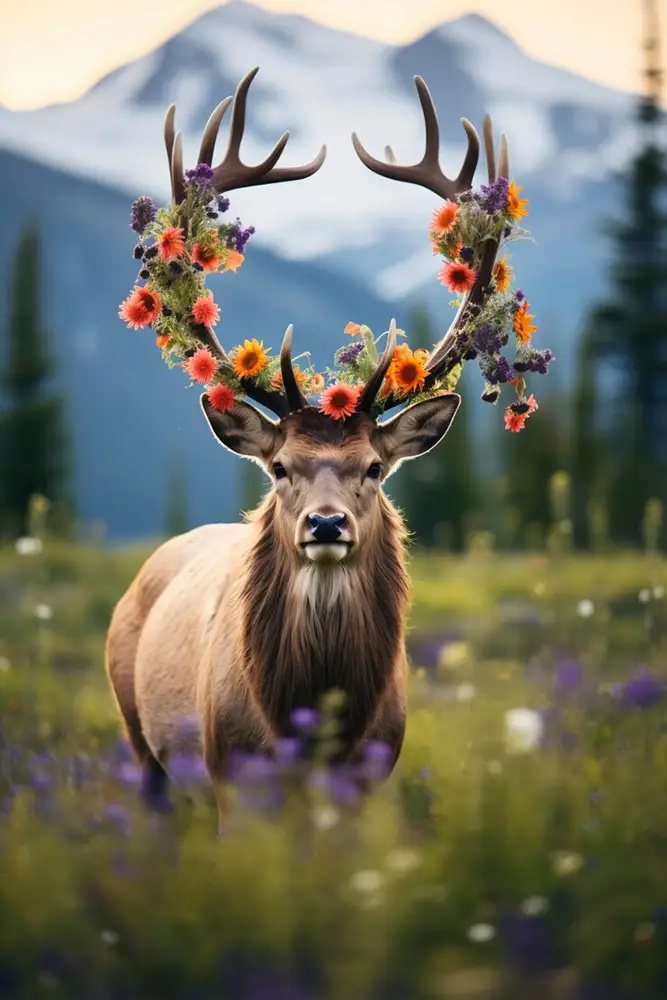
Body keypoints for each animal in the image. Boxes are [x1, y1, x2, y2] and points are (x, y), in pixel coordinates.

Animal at [106, 67, 510, 830]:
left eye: (375, 468)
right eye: (279, 467)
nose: (326, 524)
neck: (312, 723)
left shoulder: (370, 780)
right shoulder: (232, 776)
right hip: (141, 743)